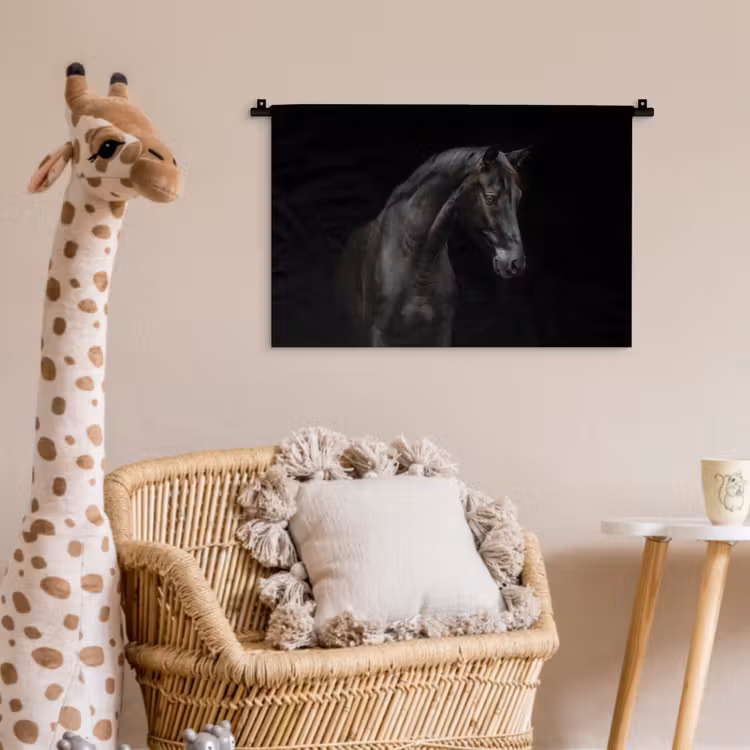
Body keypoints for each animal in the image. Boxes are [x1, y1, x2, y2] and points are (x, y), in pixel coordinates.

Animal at [338, 144, 530, 346]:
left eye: (518, 197)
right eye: (490, 198)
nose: (516, 263)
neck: (418, 263)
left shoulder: (442, 333)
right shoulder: (378, 334)